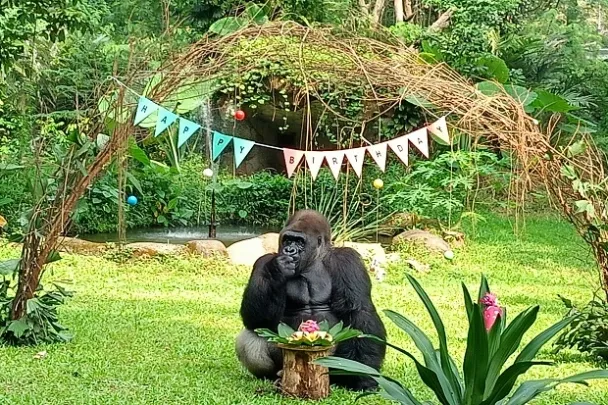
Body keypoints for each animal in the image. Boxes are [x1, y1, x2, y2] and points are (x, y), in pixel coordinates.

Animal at [235, 208, 388, 388]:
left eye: (299, 241)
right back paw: (276, 377)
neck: (314, 260)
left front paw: (361, 375)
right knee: (251, 336)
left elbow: (359, 311)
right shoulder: (262, 263)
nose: (289, 250)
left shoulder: (348, 260)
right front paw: (276, 271)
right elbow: (256, 320)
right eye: (287, 240)